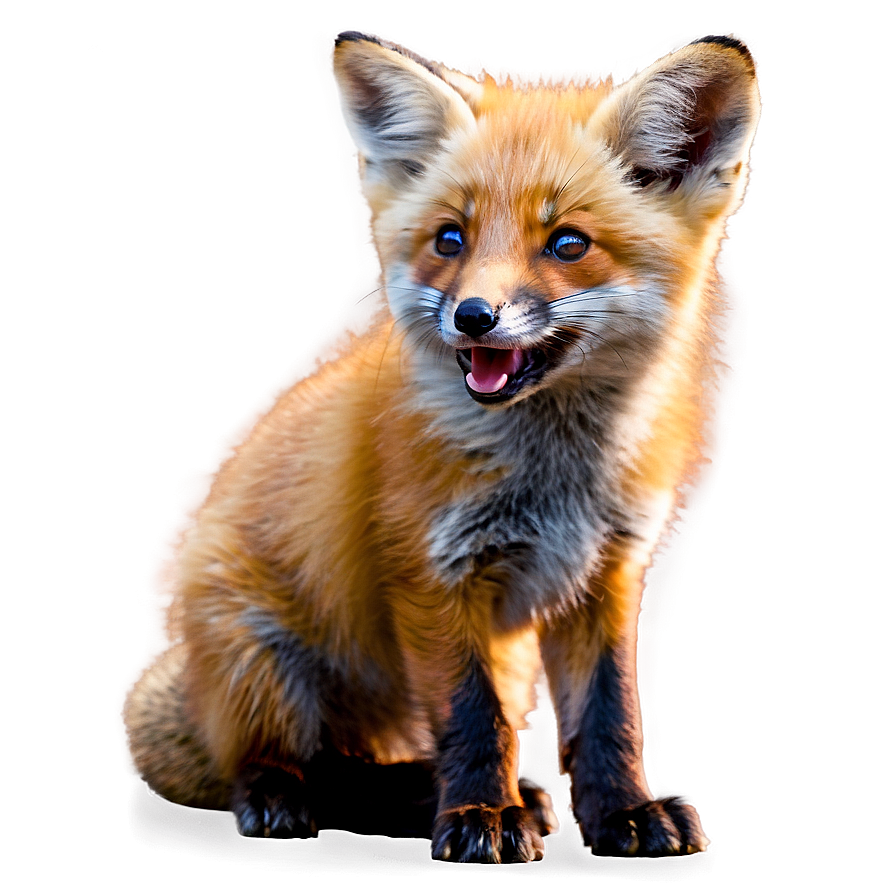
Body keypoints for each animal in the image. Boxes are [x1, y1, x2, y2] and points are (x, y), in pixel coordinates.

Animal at [124, 31, 760, 863]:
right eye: (449, 239)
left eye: (568, 243)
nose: (474, 316)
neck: (555, 478)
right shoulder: (430, 572)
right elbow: (470, 717)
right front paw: (479, 817)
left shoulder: (606, 576)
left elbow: (608, 714)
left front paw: (624, 813)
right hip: (262, 663)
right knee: (292, 760)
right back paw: (300, 798)